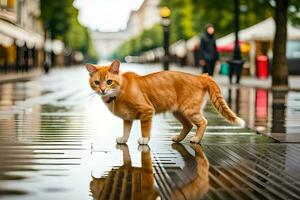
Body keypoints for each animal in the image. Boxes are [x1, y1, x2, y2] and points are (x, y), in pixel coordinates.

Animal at [85, 60, 245, 145]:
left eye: (109, 82)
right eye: (97, 82)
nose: (103, 90)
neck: (120, 91)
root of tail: (200, 76)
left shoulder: (147, 111)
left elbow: (144, 129)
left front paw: (144, 139)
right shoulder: (127, 118)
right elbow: (126, 130)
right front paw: (124, 139)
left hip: (189, 110)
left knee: (203, 122)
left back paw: (196, 139)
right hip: (178, 111)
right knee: (188, 125)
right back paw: (179, 138)